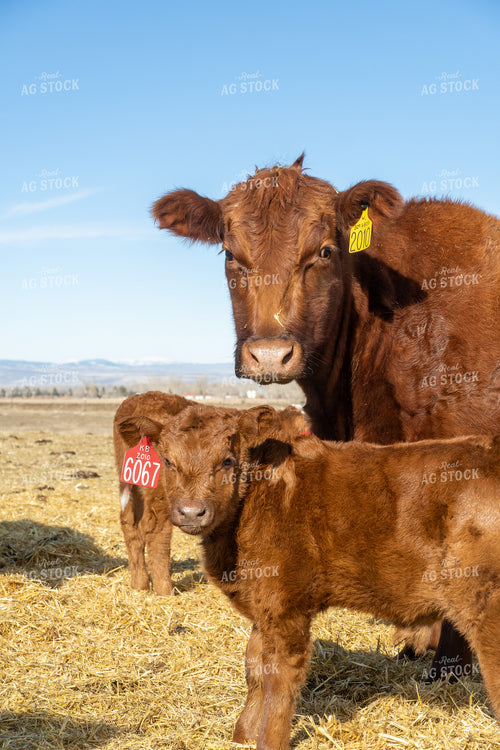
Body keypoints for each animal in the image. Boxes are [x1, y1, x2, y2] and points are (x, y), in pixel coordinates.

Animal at [124, 402, 500, 750]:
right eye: (168, 461)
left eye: (227, 461)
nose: (191, 511)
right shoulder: (264, 606)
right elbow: (254, 667)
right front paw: (244, 733)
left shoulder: (286, 606)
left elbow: (279, 678)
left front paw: (269, 740)